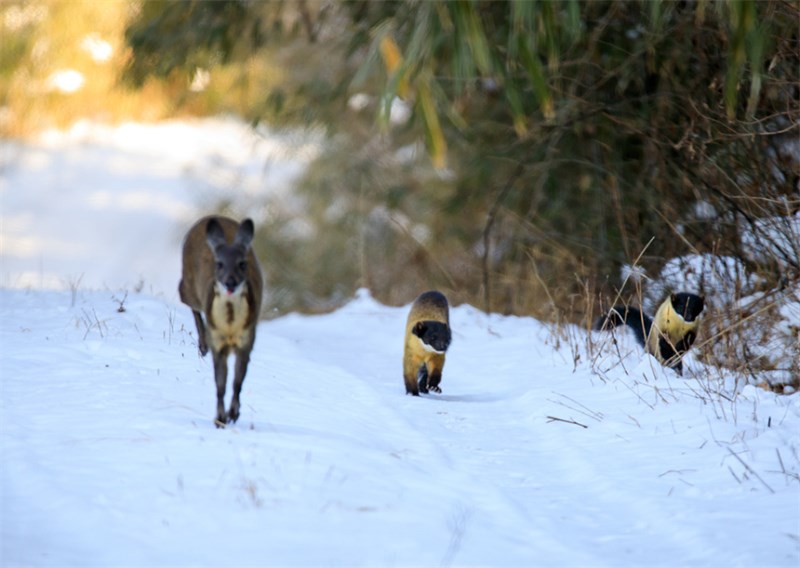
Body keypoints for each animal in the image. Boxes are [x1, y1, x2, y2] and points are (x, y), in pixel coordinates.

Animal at [179, 216, 264, 426]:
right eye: (219, 263)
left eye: (242, 263)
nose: (230, 282)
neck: (230, 327)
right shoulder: (218, 342)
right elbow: (220, 383)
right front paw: (220, 418)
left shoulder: (247, 339)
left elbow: (237, 382)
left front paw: (233, 414)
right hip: (189, 285)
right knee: (186, 298)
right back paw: (202, 347)